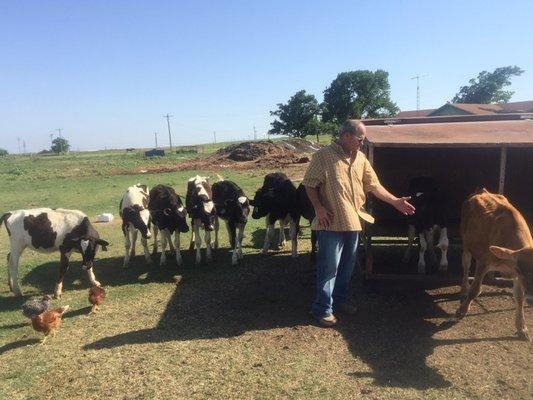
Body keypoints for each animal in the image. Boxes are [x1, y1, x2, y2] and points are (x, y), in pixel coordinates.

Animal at [456, 189, 532, 340]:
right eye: (521, 269)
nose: (532, 299)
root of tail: (482, 191)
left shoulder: (516, 275)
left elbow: (519, 298)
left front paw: (522, 328)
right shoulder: (484, 262)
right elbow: (475, 290)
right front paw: (462, 310)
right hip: (466, 243)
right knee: (466, 265)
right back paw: (464, 288)